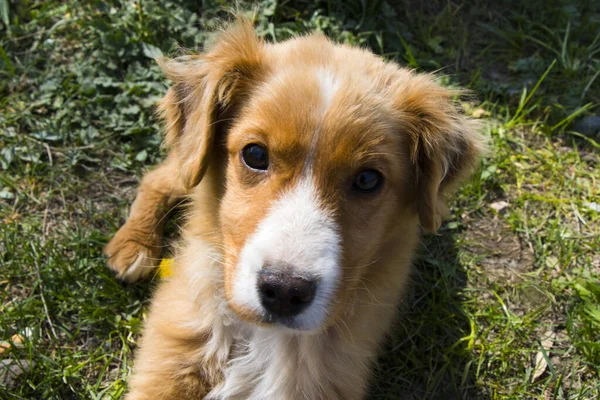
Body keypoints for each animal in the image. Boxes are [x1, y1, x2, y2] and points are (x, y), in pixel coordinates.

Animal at [105, 18, 486, 400]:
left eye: (367, 179)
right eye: (255, 154)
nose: (285, 292)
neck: (265, 337)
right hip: (188, 164)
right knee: (161, 175)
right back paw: (134, 246)